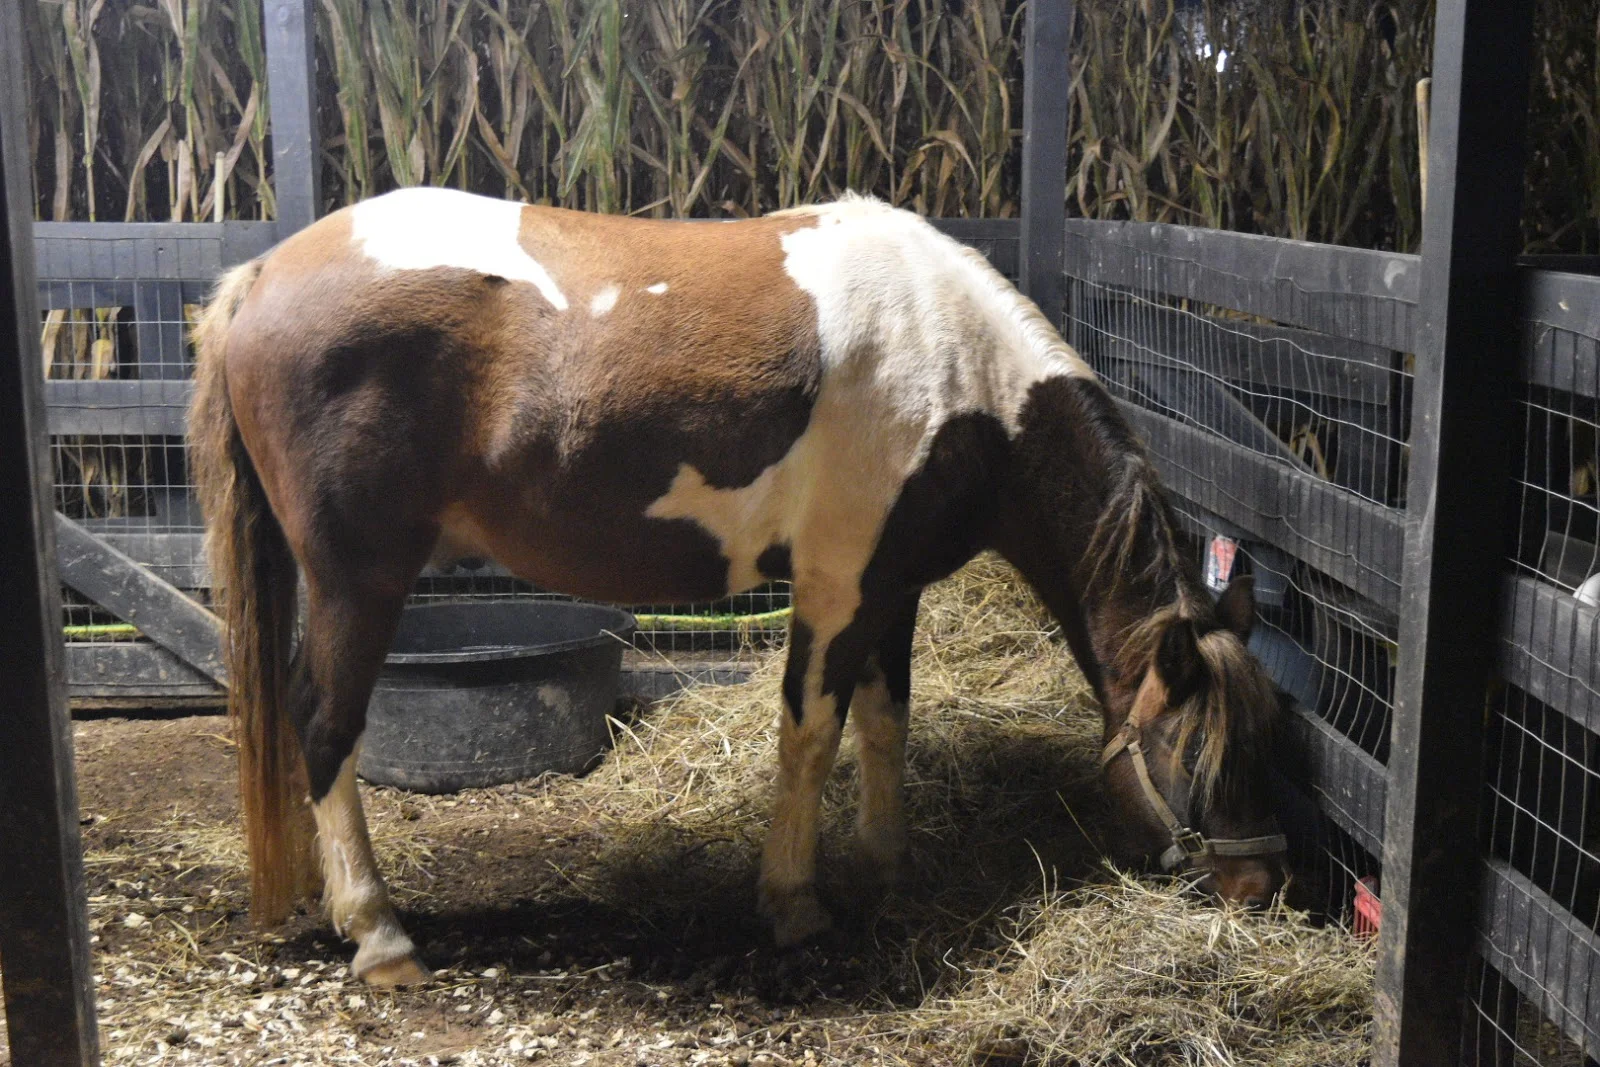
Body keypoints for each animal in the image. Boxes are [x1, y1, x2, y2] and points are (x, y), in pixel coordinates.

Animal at [190, 187, 1286, 991]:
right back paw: (380, 936)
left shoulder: (891, 586)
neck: (957, 374)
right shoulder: (838, 587)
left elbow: (885, 723)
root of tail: (263, 276)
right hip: (356, 580)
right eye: (1191, 752)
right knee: (325, 725)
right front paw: (795, 903)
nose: (1257, 885)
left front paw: (887, 865)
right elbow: (810, 734)